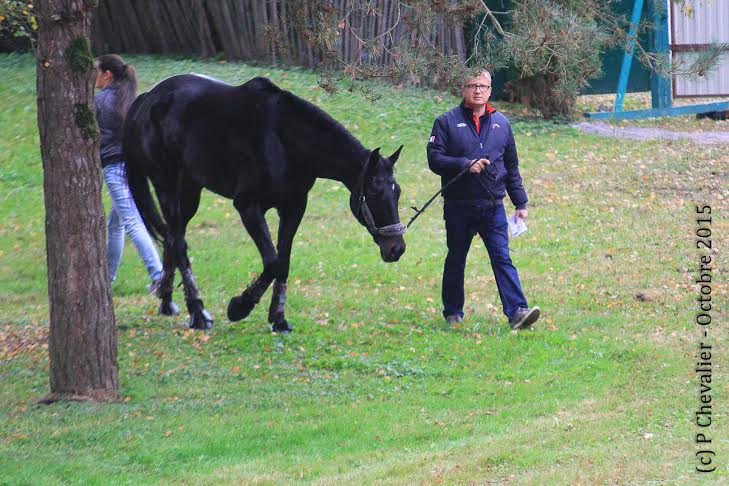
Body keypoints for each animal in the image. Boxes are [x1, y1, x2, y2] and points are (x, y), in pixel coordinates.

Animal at [123, 74, 406, 332]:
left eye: (397, 192)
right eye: (374, 192)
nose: (397, 248)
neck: (284, 140)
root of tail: (146, 99)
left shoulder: (294, 207)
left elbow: (284, 261)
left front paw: (278, 318)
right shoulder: (248, 206)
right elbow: (272, 261)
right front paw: (240, 306)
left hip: (190, 190)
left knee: (173, 237)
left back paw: (167, 299)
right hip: (166, 186)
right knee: (179, 243)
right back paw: (198, 312)